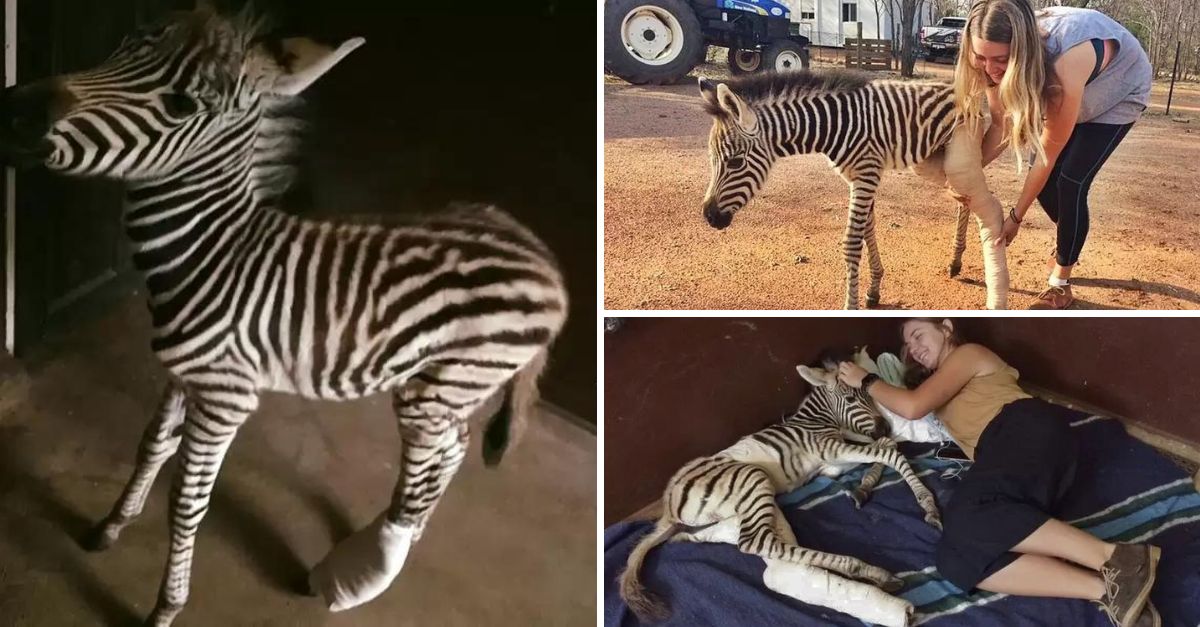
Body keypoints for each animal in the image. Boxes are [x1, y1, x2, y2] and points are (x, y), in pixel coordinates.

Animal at [0, 4, 566, 624]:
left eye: (180, 105)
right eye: (124, 44)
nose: (11, 107)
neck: (215, 253)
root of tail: (543, 260)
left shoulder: (226, 396)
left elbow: (187, 501)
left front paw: (166, 606)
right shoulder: (185, 373)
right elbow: (152, 443)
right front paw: (112, 524)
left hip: (443, 386)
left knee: (441, 448)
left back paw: (370, 564)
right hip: (439, 383)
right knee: (456, 445)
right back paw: (403, 537)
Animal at [624, 350, 940, 624]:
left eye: (870, 396)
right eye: (851, 398)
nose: (884, 426)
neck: (817, 421)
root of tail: (667, 507)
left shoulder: (831, 463)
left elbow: (884, 449)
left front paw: (865, 485)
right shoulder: (830, 449)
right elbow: (889, 451)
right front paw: (927, 504)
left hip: (729, 518)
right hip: (753, 480)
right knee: (757, 543)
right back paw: (872, 572)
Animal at [700, 69, 1008, 307]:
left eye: (736, 162)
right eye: (712, 159)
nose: (709, 217)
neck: (831, 125)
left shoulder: (866, 174)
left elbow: (851, 243)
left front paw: (851, 305)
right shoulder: (857, 177)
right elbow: (868, 229)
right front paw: (874, 289)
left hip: (960, 153)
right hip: (930, 161)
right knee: (964, 199)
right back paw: (956, 261)